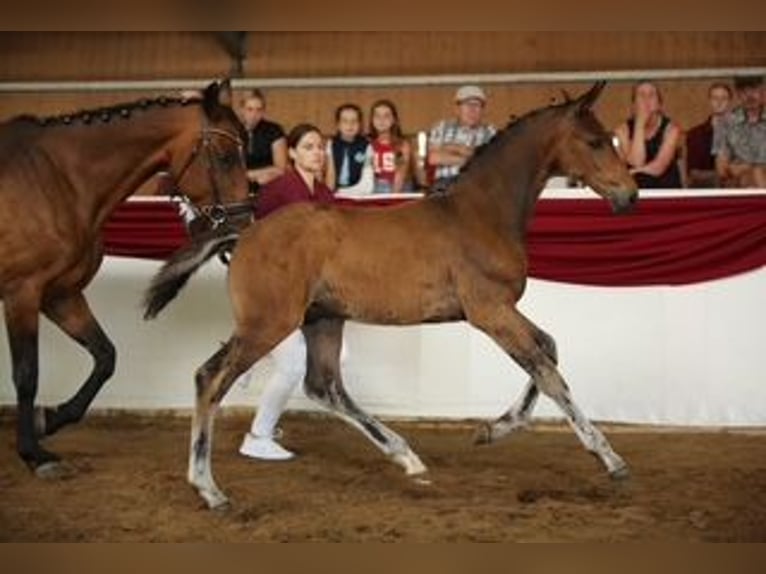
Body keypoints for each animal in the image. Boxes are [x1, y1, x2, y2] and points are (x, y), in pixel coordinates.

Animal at [0, 79, 251, 478]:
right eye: (226, 156)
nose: (242, 227)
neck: (56, 181)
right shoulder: (21, 292)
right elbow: (27, 373)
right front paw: (33, 453)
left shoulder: (59, 294)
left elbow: (106, 356)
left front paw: (51, 419)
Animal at [144, 81, 639, 510]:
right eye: (596, 141)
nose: (630, 195)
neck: (479, 215)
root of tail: (243, 234)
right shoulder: (489, 311)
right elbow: (547, 370)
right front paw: (609, 457)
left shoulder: (500, 310)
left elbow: (547, 350)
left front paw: (492, 430)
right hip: (267, 324)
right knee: (211, 378)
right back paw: (209, 489)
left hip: (322, 318)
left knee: (324, 385)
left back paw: (406, 456)